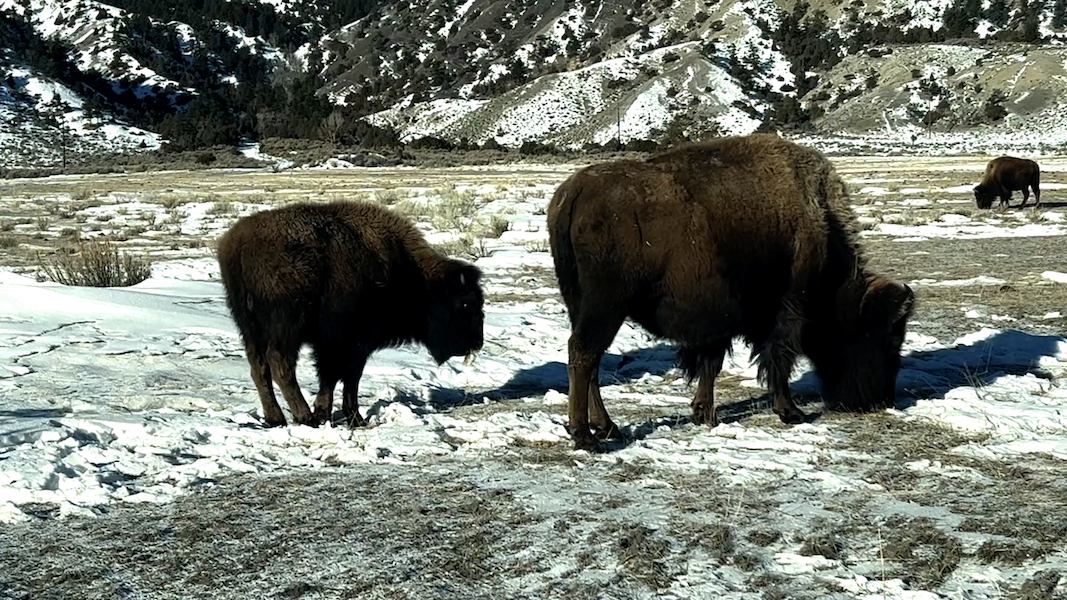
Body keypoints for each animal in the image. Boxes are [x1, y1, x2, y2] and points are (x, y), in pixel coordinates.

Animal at [217, 201, 484, 428]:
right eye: (465, 304)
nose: (477, 342)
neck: (411, 274)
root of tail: (239, 243)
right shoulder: (351, 342)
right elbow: (346, 378)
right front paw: (350, 417)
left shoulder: (338, 344)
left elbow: (333, 378)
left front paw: (332, 414)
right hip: (287, 325)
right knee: (280, 364)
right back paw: (304, 417)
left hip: (248, 326)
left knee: (259, 366)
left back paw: (276, 418)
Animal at [547, 134, 915, 449]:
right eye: (886, 338)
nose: (881, 400)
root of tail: (575, 191)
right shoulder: (788, 309)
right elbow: (778, 359)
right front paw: (790, 412)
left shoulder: (719, 321)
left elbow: (711, 364)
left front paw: (705, 414)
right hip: (605, 306)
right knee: (584, 354)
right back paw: (586, 437)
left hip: (583, 305)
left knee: (591, 360)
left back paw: (607, 427)